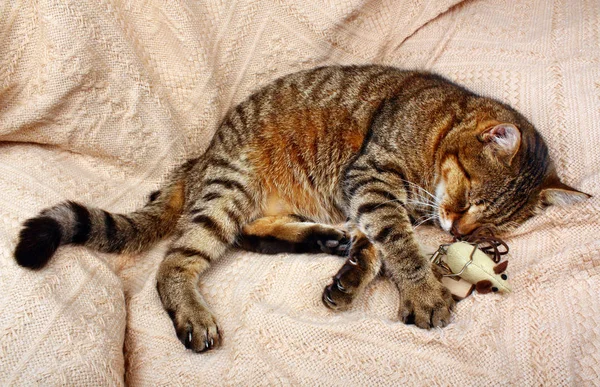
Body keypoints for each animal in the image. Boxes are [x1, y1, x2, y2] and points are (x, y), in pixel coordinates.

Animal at [14, 65, 592, 354]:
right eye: (470, 197)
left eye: (484, 226)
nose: (455, 226)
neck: (437, 130)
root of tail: (200, 159)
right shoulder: (371, 177)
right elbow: (399, 243)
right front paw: (425, 292)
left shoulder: (366, 194)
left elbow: (381, 244)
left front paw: (355, 275)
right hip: (229, 192)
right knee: (175, 263)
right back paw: (195, 314)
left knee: (253, 234)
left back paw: (329, 240)